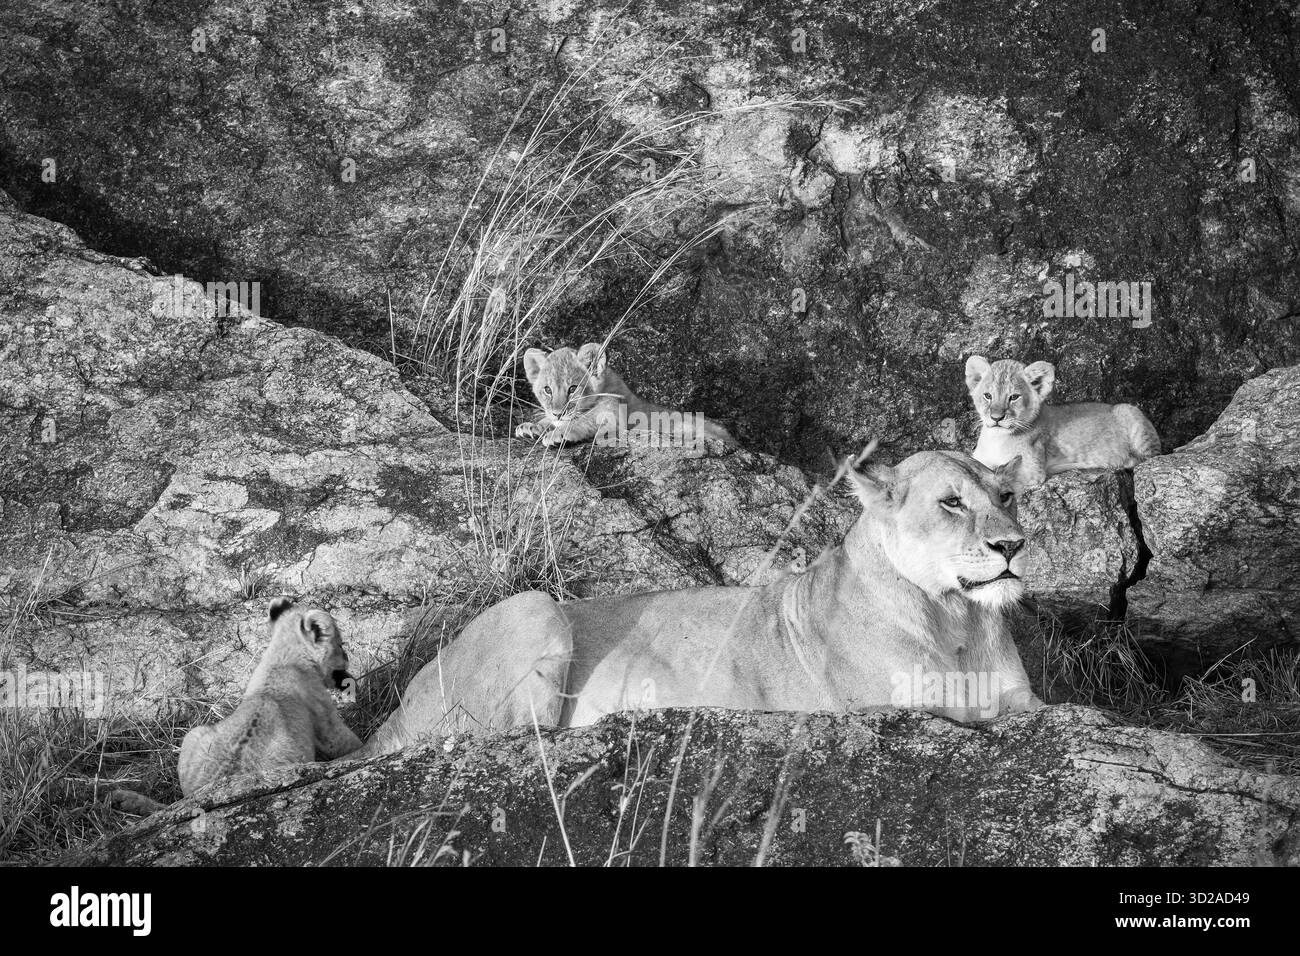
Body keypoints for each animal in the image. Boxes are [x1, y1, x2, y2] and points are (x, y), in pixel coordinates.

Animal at [178, 599, 362, 796]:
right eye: (340, 644)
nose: (347, 657)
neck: (282, 658)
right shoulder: (326, 722)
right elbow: (349, 744)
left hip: (192, 734)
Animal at [356, 447, 1043, 757]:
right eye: (950, 502)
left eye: (1006, 496)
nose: (1014, 544)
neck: (957, 620)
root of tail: (392, 714)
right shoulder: (892, 706)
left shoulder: (1017, 695)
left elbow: (1031, 709)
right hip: (534, 605)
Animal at [514, 343, 735, 449]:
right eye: (547, 389)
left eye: (572, 388)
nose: (557, 413)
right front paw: (531, 427)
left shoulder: (615, 415)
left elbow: (583, 420)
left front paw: (558, 434)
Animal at [965, 355, 1161, 489]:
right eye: (987, 396)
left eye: (1013, 397)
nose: (996, 418)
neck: (995, 438)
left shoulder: (1032, 471)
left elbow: (997, 474)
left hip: (1129, 412)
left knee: (1147, 458)